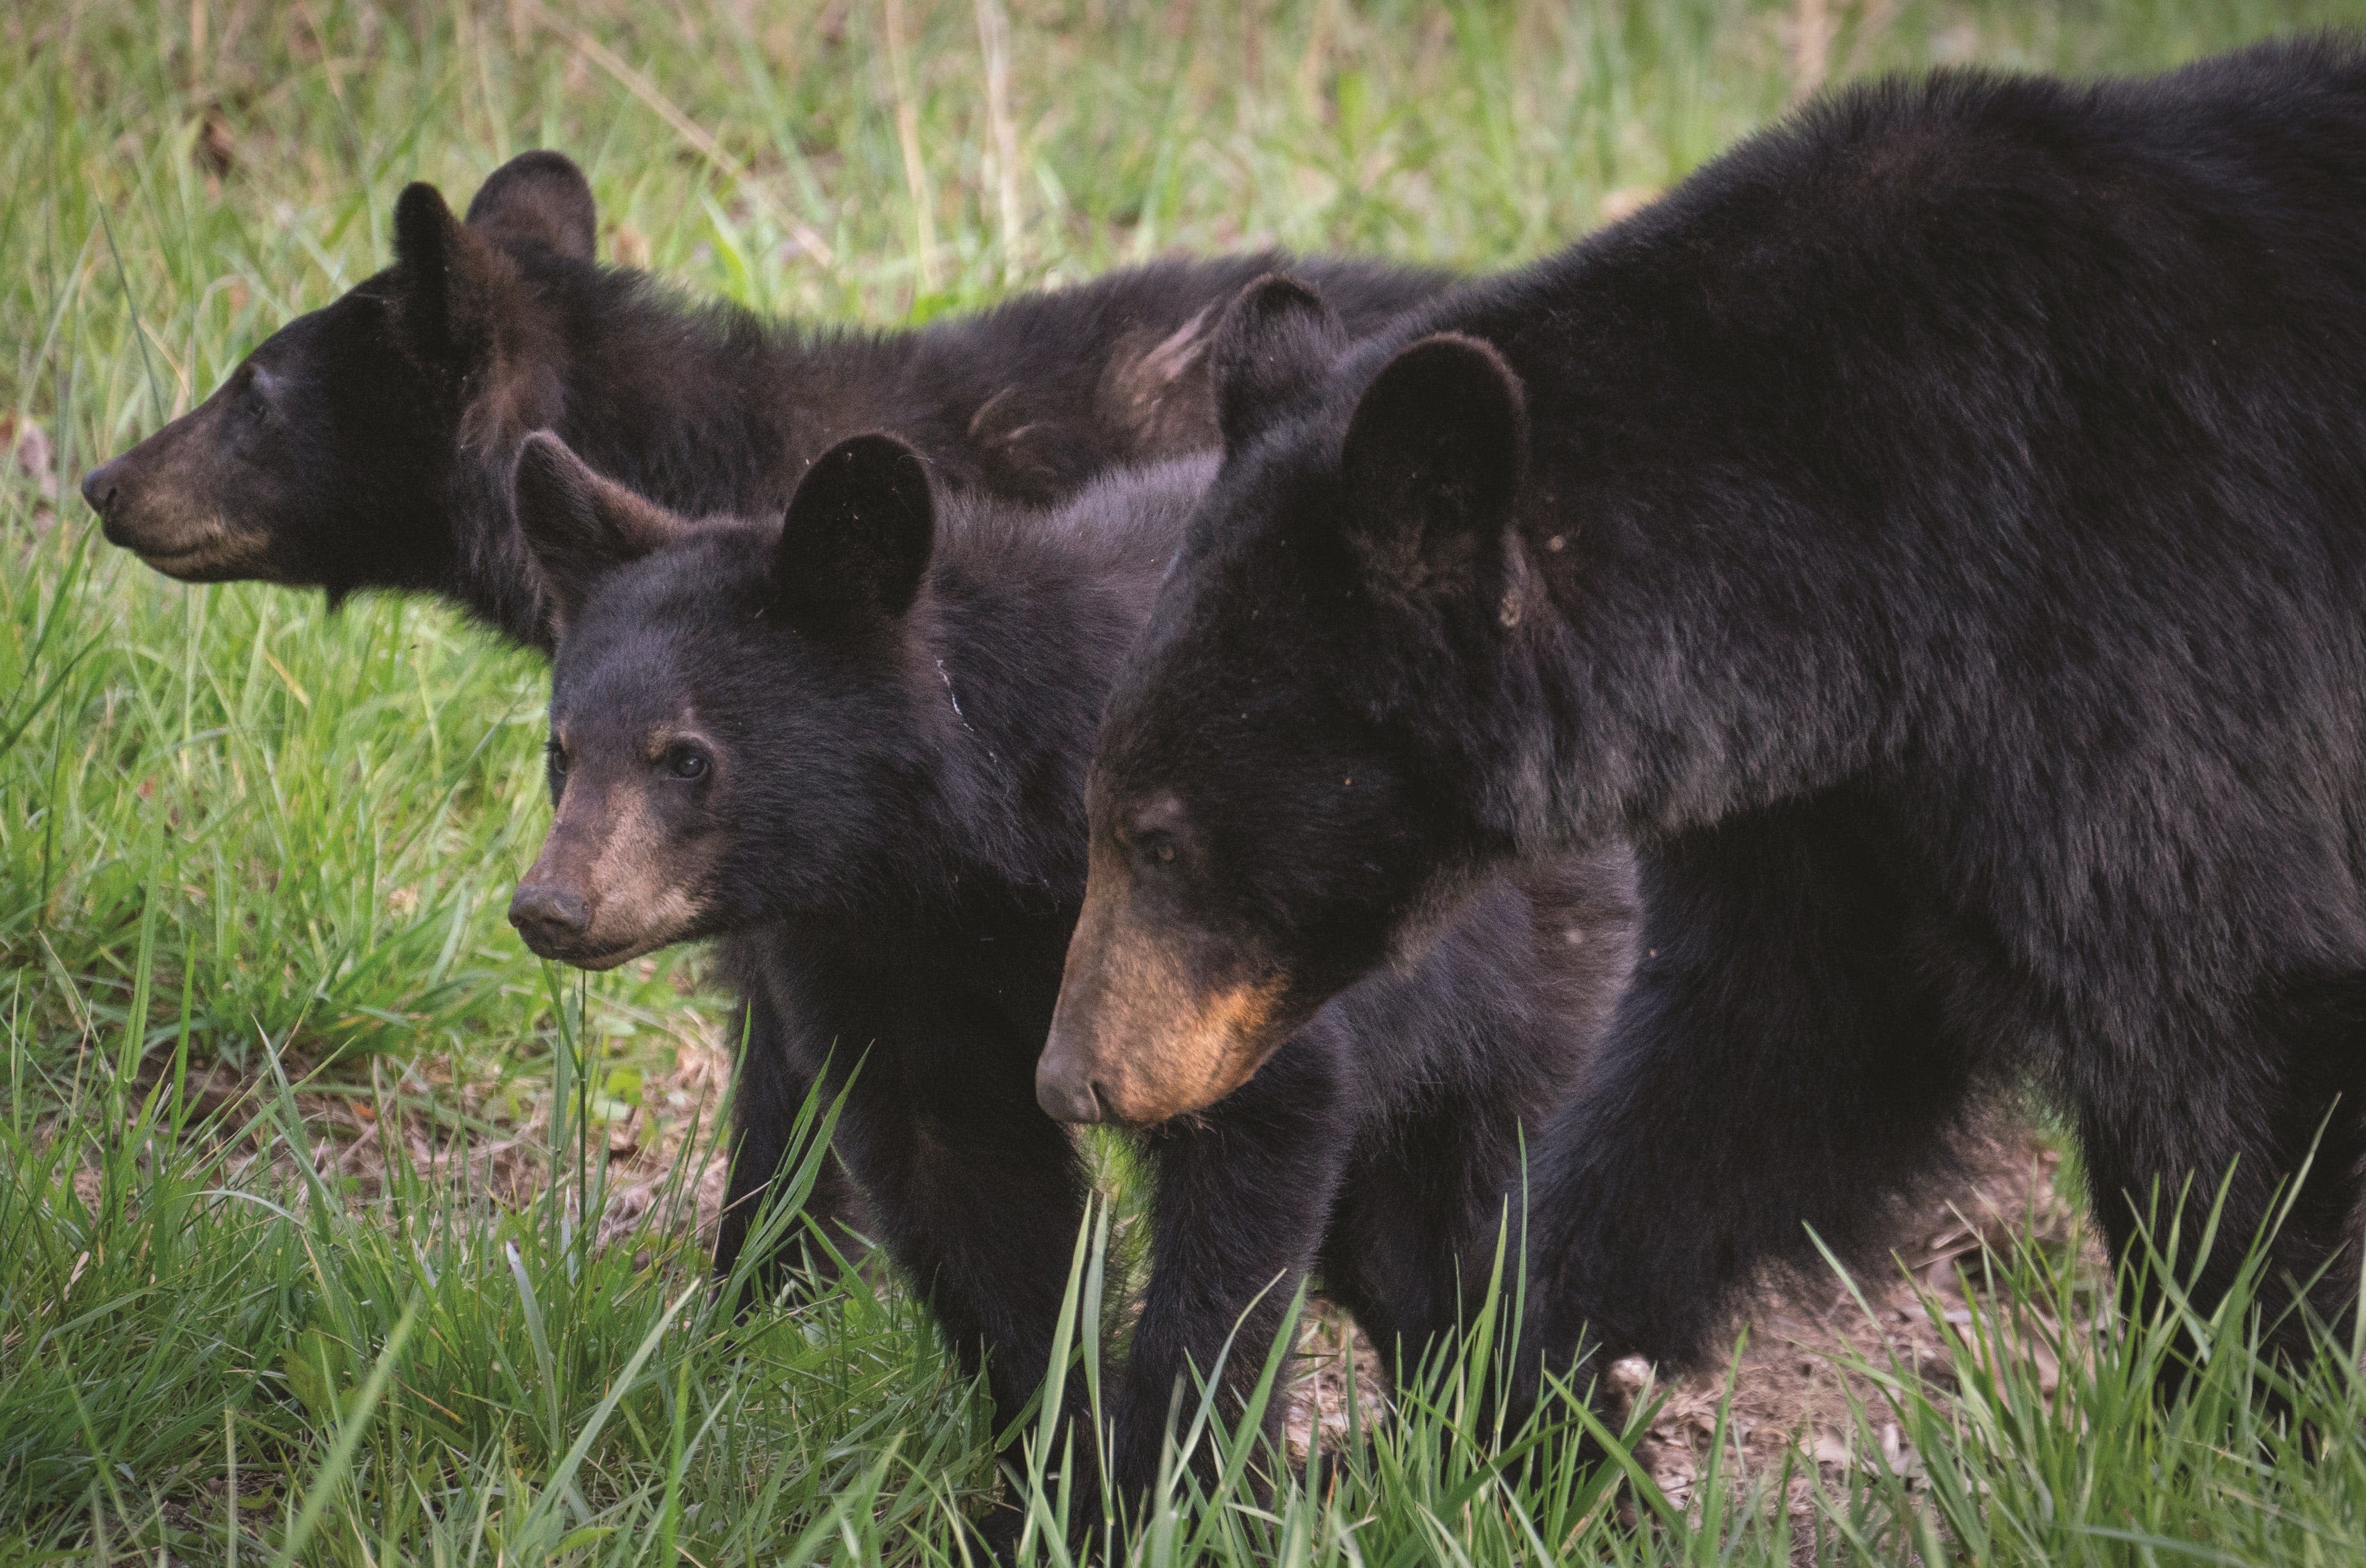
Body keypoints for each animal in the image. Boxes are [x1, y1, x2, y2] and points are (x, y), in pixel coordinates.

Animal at [1045, 37, 2366, 1409]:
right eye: (1098, 808)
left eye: (1158, 835)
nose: (1073, 1077)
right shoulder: (1853, 805)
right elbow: (1756, 1060)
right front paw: (1507, 1395)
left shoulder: (2149, 642)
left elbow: (2223, 1023)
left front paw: (2234, 1404)